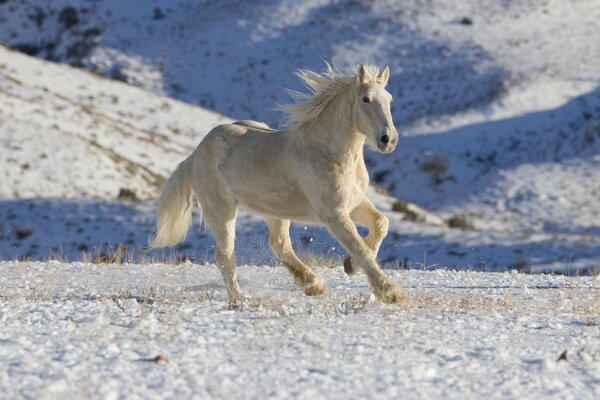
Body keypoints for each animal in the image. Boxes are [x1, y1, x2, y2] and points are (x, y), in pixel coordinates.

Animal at [150, 63, 404, 304]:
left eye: (389, 99)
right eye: (365, 99)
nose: (388, 140)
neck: (327, 152)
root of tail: (194, 155)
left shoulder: (354, 202)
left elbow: (380, 224)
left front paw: (350, 266)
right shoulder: (333, 213)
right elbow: (359, 247)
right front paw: (390, 292)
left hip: (275, 210)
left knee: (279, 244)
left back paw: (313, 285)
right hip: (221, 209)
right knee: (225, 256)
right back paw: (239, 299)